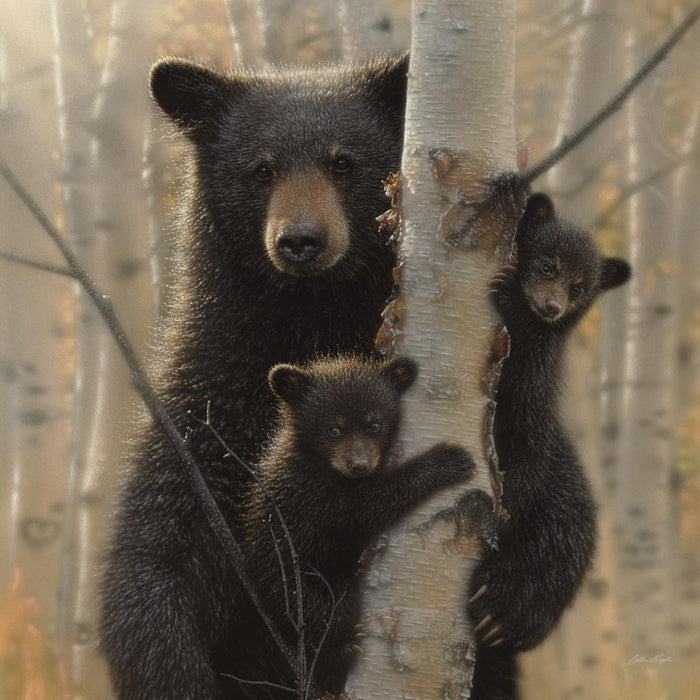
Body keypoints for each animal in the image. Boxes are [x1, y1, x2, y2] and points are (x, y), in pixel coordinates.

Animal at [97, 56, 410, 700]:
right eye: (261, 169)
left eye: (344, 162)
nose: (300, 241)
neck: (309, 324)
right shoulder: (208, 411)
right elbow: (156, 557)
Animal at [227, 356, 474, 696]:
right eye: (333, 429)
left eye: (374, 424)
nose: (359, 465)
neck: (318, 460)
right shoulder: (314, 493)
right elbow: (369, 506)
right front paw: (448, 460)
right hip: (294, 582)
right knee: (323, 611)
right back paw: (340, 650)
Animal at [468, 191, 632, 700]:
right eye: (546, 265)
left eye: (579, 287)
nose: (552, 306)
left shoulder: (533, 392)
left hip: (564, 513)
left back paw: (501, 612)